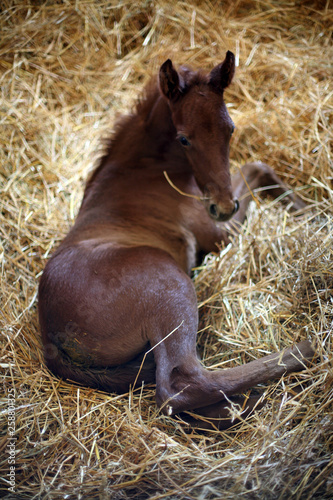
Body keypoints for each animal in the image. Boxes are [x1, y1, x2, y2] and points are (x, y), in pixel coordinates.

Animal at [37, 50, 312, 428]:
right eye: (184, 138)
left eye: (230, 129)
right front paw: (311, 211)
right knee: (181, 385)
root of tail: (50, 337)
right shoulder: (218, 232)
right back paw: (298, 357)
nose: (222, 206)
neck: (148, 168)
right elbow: (258, 168)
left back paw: (240, 404)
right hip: (172, 290)